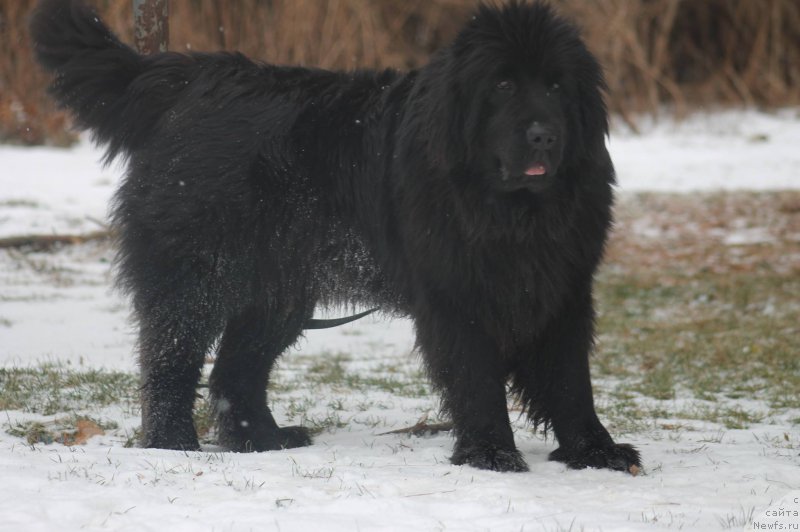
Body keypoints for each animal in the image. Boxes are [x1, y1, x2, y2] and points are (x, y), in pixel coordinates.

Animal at [31, 0, 640, 474]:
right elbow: (478, 379)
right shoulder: (454, 297)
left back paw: (263, 440)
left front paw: (596, 451)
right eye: (504, 85)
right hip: (196, 274)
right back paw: (172, 444)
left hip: (278, 288)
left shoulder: (562, 289)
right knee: (171, 360)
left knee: (235, 370)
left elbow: (570, 381)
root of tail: (185, 80)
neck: (511, 212)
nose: (543, 135)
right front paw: (491, 454)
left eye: (556, 87)